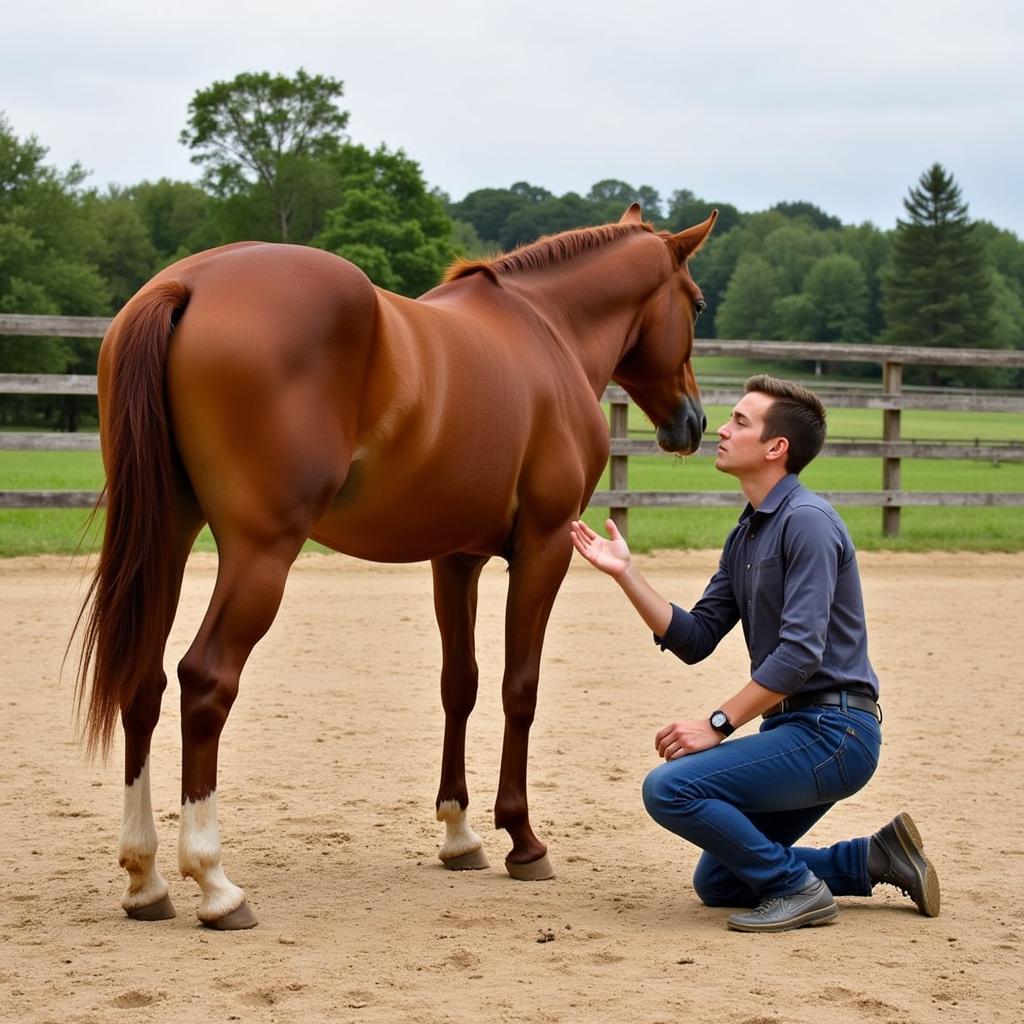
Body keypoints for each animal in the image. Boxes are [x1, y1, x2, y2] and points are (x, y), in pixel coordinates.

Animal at [75, 199, 716, 929]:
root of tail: (188, 285)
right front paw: (522, 839)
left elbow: (459, 684)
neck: (548, 333)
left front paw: (460, 834)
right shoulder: (545, 545)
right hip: (260, 551)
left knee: (143, 683)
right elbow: (519, 687)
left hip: (169, 538)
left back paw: (145, 877)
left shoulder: (456, 557)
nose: (693, 422)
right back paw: (214, 882)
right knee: (205, 680)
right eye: (695, 302)